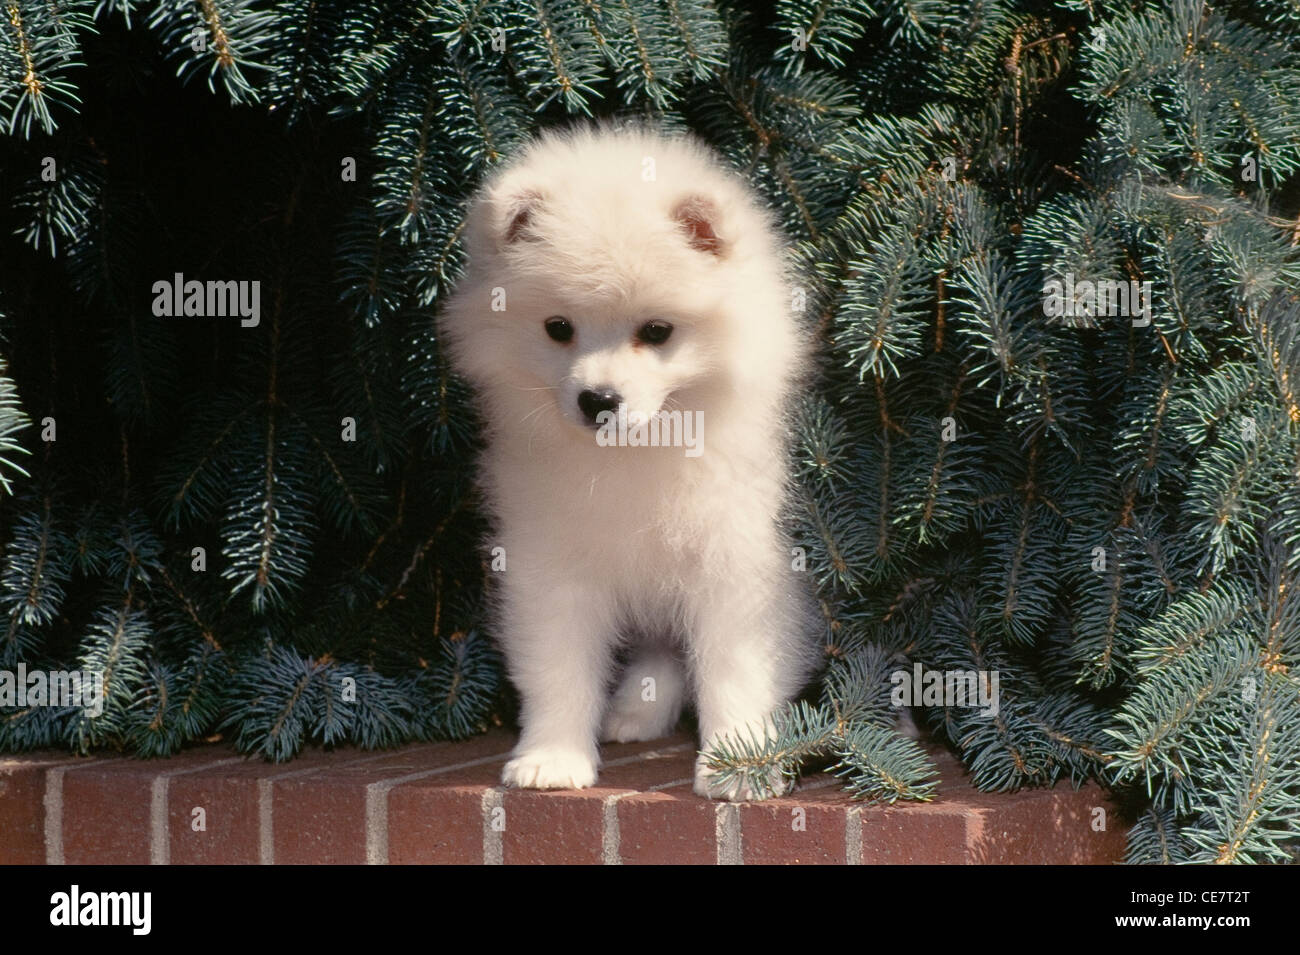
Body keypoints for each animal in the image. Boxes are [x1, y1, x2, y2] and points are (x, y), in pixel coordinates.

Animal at [441, 123, 816, 805]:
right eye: (558, 327)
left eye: (658, 330)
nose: (599, 400)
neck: (637, 455)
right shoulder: (548, 560)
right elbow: (558, 665)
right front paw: (553, 757)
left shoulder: (734, 560)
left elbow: (732, 667)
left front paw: (738, 764)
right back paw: (632, 712)